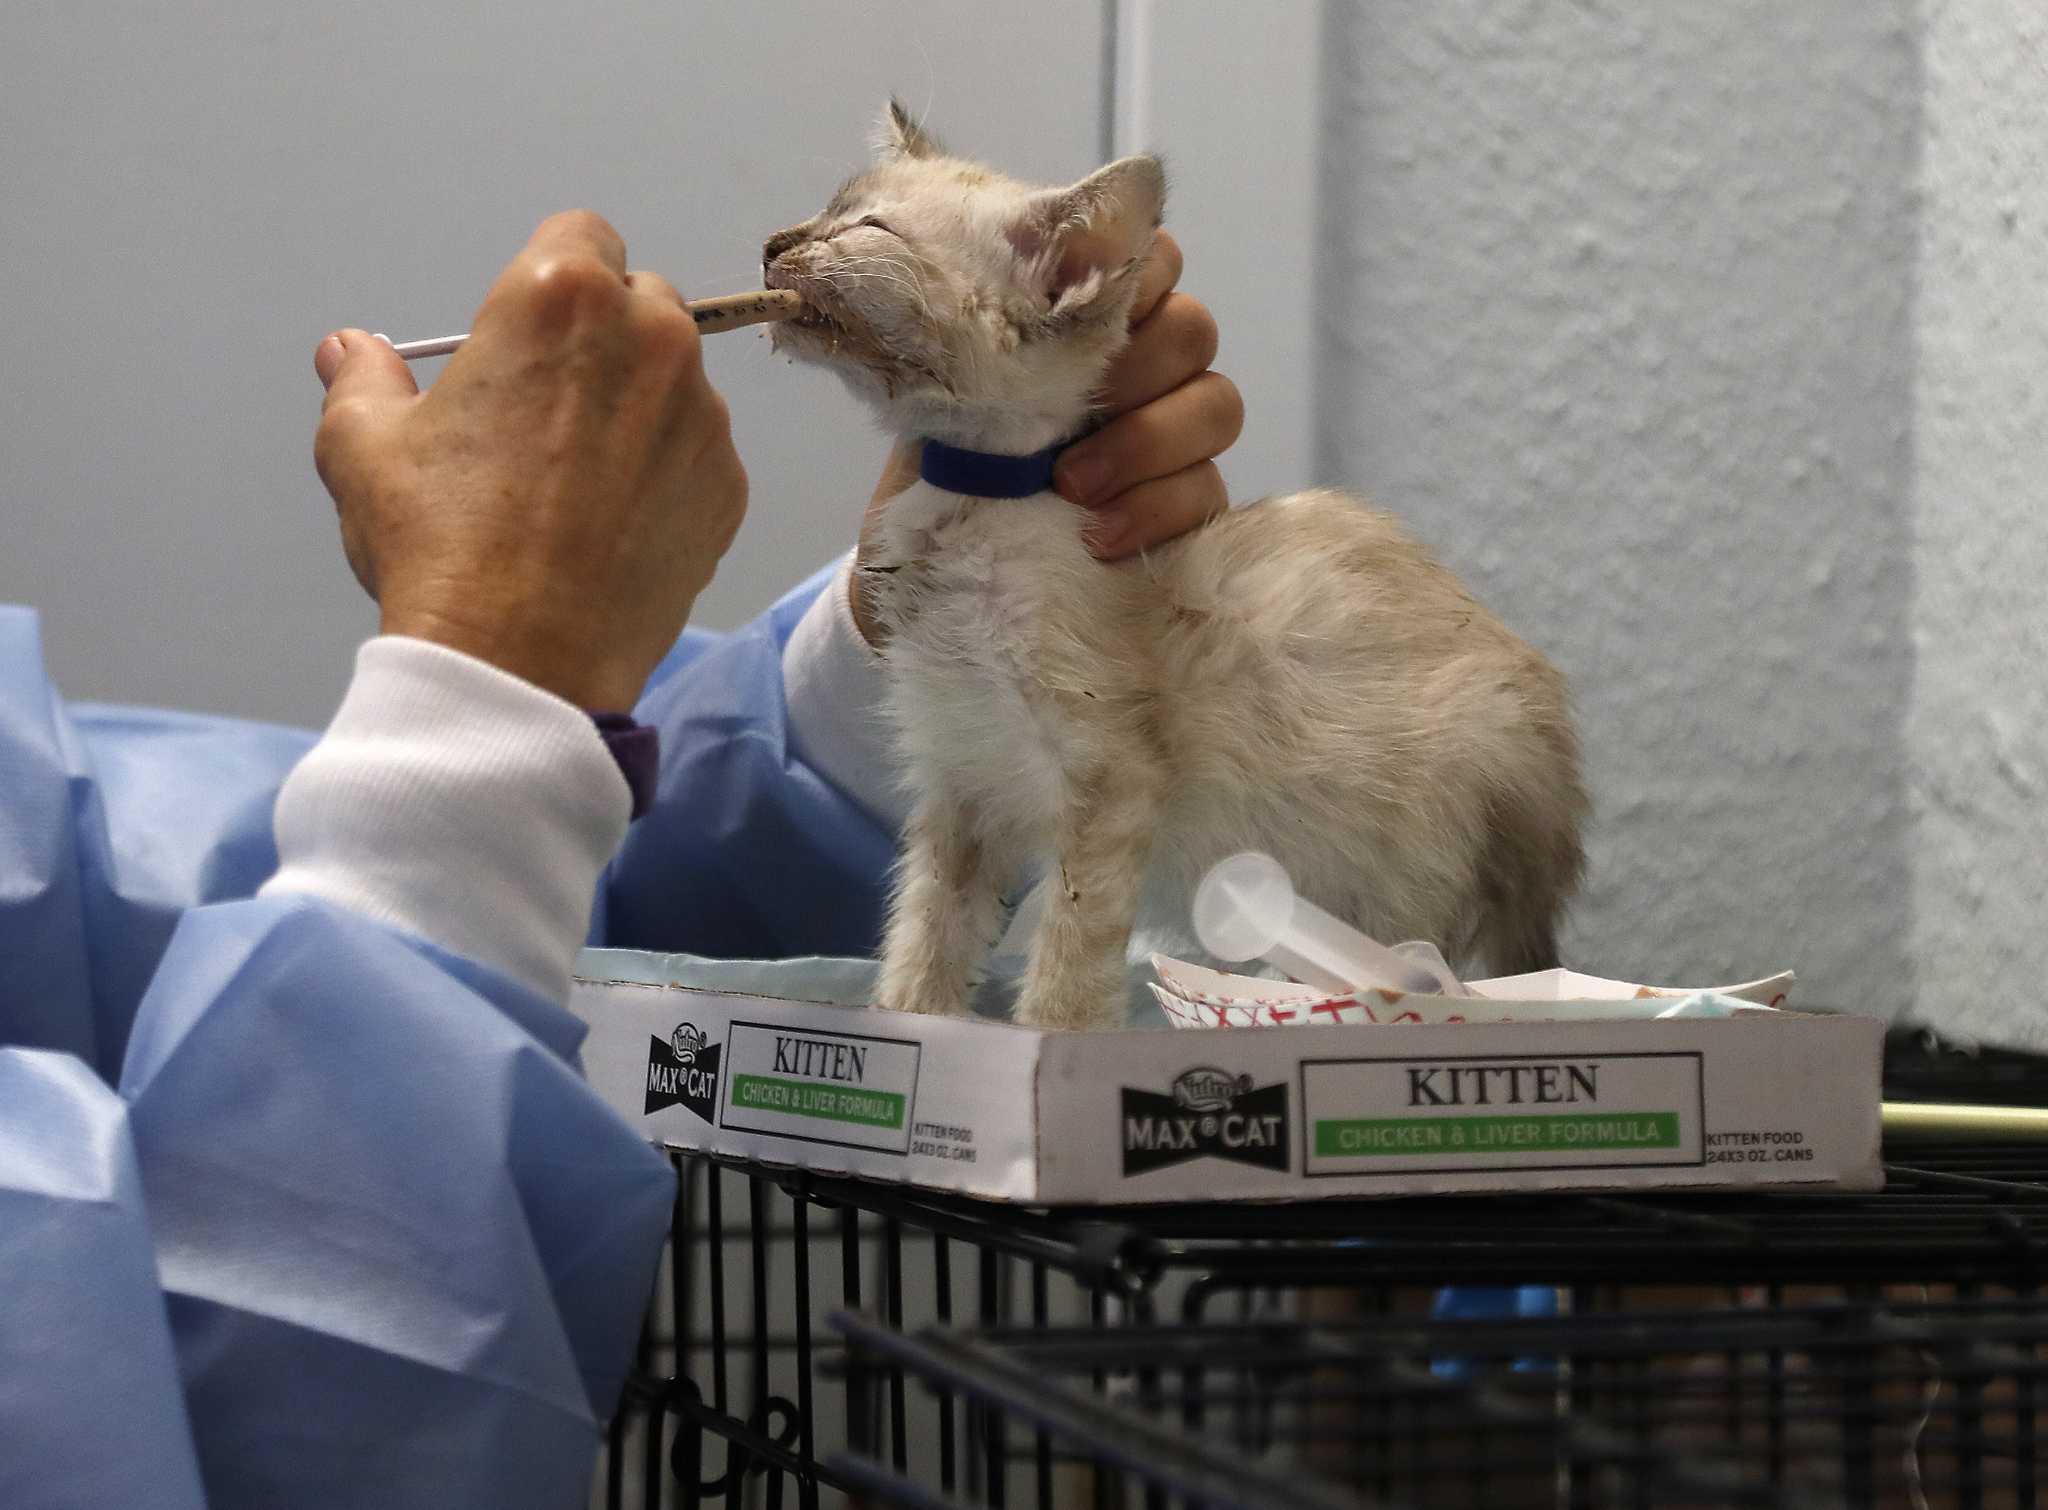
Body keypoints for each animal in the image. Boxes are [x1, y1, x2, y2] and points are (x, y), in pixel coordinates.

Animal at [770, 102, 1581, 1024]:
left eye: (866, 228)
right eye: (823, 211)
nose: (772, 244)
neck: (975, 511)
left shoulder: (1109, 784)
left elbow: (1069, 959)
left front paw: (1047, 1035)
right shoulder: (960, 777)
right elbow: (925, 935)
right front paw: (914, 1024)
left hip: (1407, 832)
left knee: (1415, 955)